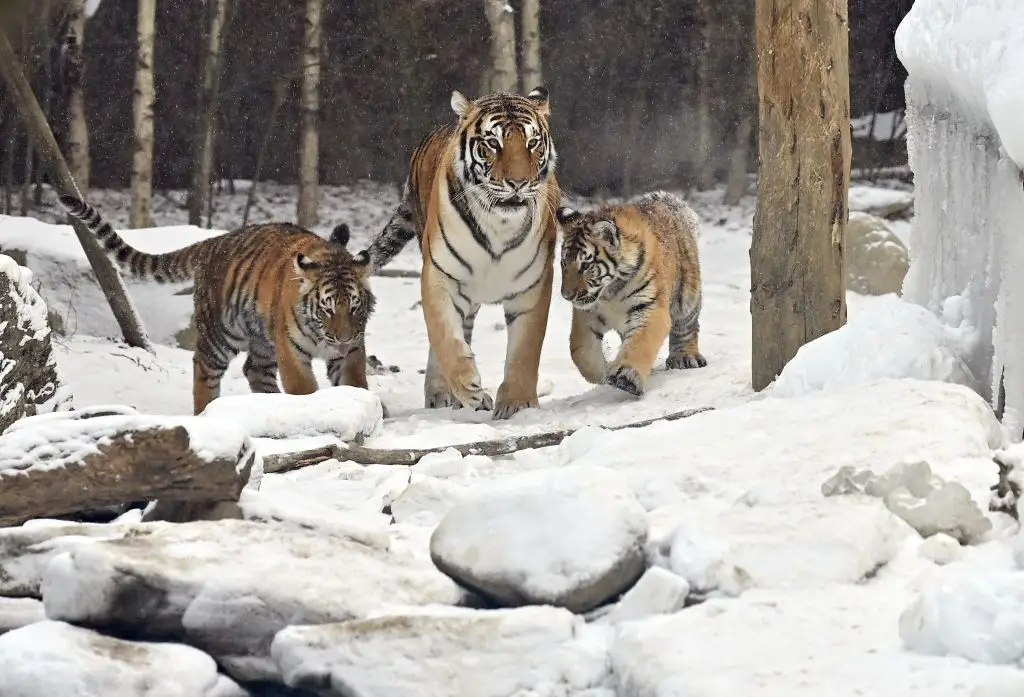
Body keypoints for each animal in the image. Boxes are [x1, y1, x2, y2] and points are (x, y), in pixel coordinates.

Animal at [57, 194, 377, 415]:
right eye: (327, 308)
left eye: (354, 306)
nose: (342, 338)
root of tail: (213, 242)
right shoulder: (292, 352)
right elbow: (304, 390)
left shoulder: (351, 351)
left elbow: (354, 383)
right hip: (220, 334)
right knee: (204, 369)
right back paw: (206, 413)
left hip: (261, 338)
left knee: (254, 369)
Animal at [358, 86, 560, 420]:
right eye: (493, 143)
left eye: (533, 143)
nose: (518, 183)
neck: (499, 224)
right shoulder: (440, 275)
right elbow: (445, 338)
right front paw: (469, 387)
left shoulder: (533, 286)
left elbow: (525, 349)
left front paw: (517, 403)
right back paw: (443, 394)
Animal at [556, 190, 707, 398]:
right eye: (563, 263)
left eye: (585, 266)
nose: (567, 296)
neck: (610, 292)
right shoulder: (587, 314)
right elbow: (579, 349)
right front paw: (600, 374)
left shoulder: (649, 308)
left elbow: (640, 343)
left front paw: (624, 377)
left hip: (687, 296)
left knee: (686, 327)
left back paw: (684, 357)